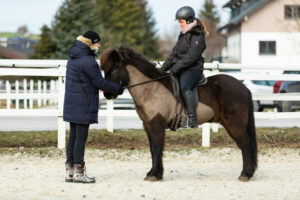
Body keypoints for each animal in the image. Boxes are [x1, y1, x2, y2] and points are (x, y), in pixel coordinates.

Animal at [99, 46, 258, 181]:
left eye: (115, 68)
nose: (107, 94)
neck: (151, 89)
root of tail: (243, 87)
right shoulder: (147, 125)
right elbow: (152, 149)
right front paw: (152, 173)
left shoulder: (157, 124)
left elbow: (157, 148)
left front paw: (155, 175)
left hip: (234, 124)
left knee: (245, 145)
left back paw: (245, 174)